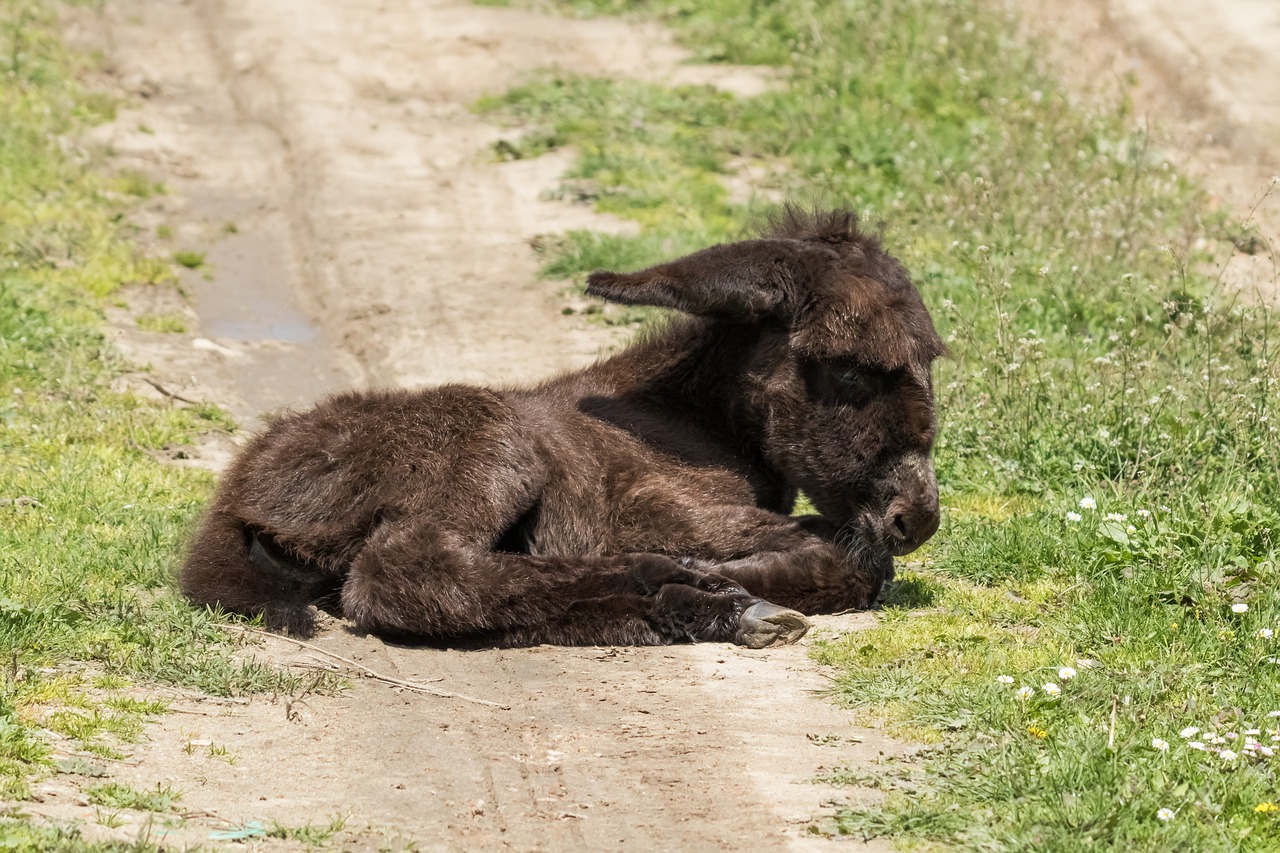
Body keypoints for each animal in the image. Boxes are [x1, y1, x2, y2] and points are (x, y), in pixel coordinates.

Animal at [180, 206, 947, 645]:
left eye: (930, 361)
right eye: (850, 372)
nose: (918, 518)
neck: (700, 419)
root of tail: (242, 486)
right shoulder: (663, 510)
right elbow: (853, 561)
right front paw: (741, 573)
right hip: (490, 441)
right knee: (402, 572)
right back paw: (687, 591)